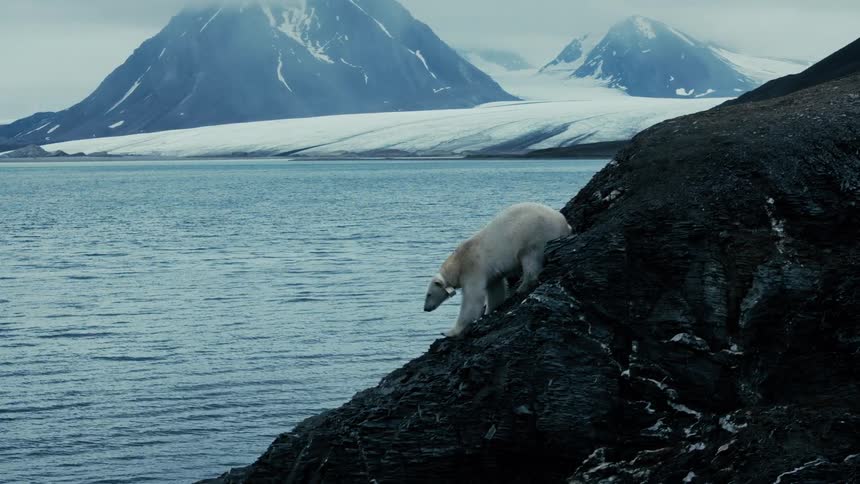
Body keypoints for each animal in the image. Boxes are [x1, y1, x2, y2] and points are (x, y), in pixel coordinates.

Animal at [424, 202, 572, 337]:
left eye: (428, 294)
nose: (425, 309)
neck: (458, 262)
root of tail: (564, 223)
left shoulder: (473, 268)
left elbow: (472, 299)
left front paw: (449, 331)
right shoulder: (490, 274)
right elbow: (495, 289)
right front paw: (489, 310)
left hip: (534, 234)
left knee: (530, 260)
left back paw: (522, 287)